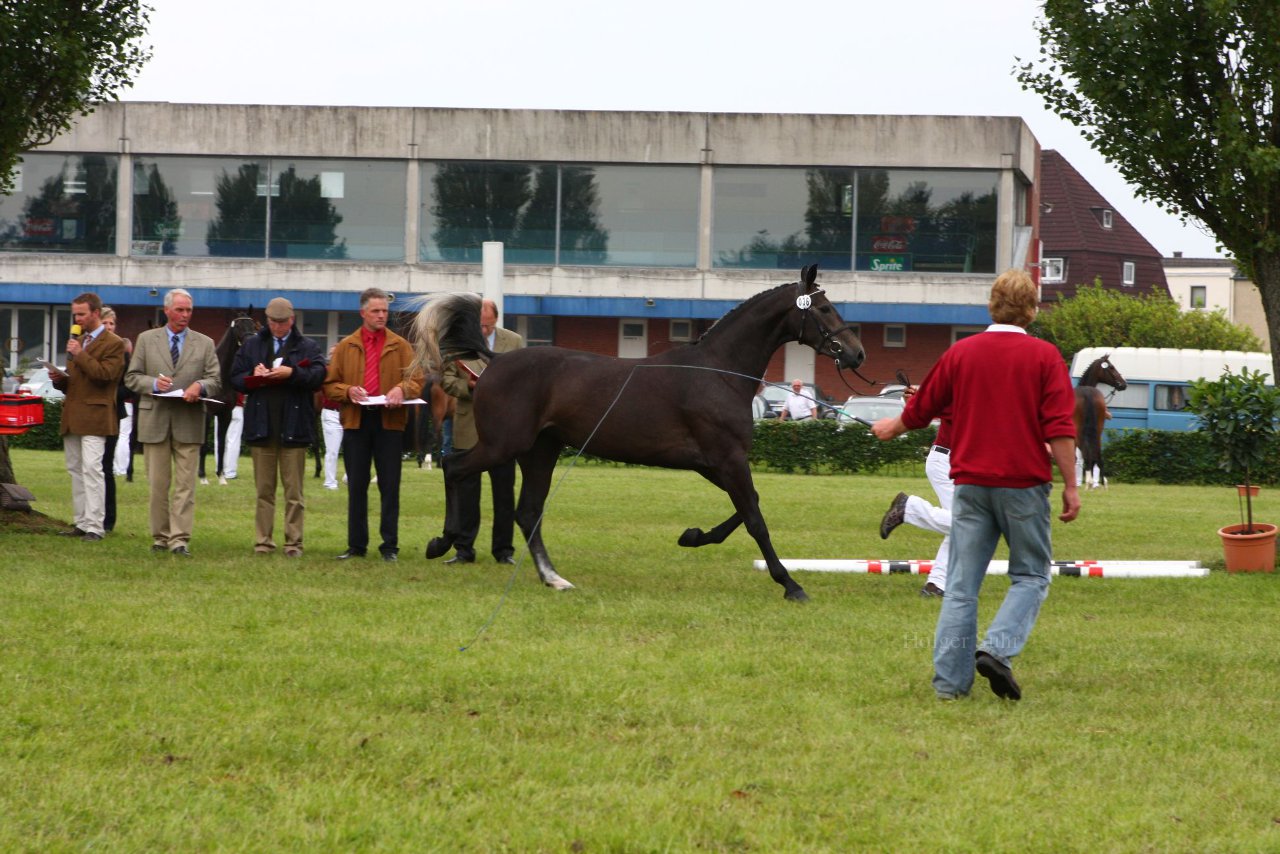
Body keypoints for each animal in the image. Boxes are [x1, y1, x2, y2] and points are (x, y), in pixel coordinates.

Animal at [414, 267, 865, 601]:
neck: (718, 371)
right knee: (455, 468)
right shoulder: (727, 458)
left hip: (541, 450)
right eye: (825, 308)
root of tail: (492, 361)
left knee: (526, 511)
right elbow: (754, 517)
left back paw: (553, 577)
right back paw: (442, 542)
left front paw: (692, 536)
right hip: (504, 445)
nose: (856, 353)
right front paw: (790, 583)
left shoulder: (714, 463)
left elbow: (747, 507)